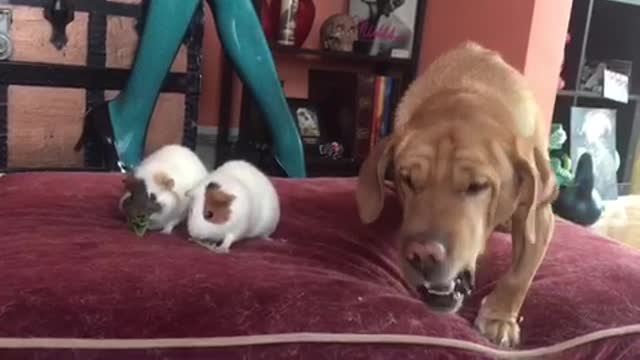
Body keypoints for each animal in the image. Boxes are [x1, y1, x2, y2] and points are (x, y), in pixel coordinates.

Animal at [358, 40, 556, 348]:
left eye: (477, 185)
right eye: (408, 179)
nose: (423, 254)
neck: (469, 89)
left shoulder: (541, 215)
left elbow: (520, 274)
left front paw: (499, 318)